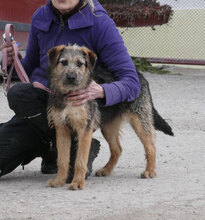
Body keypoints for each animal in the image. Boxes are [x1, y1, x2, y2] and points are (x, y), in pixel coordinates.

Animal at [46, 44, 173, 189]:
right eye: (64, 62)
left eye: (80, 64)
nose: (71, 77)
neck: (69, 94)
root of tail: (139, 75)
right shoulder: (62, 129)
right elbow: (62, 159)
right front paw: (59, 181)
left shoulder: (84, 129)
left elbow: (80, 160)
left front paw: (77, 182)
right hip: (108, 127)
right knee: (117, 149)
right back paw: (106, 170)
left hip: (139, 121)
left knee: (150, 145)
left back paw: (150, 171)